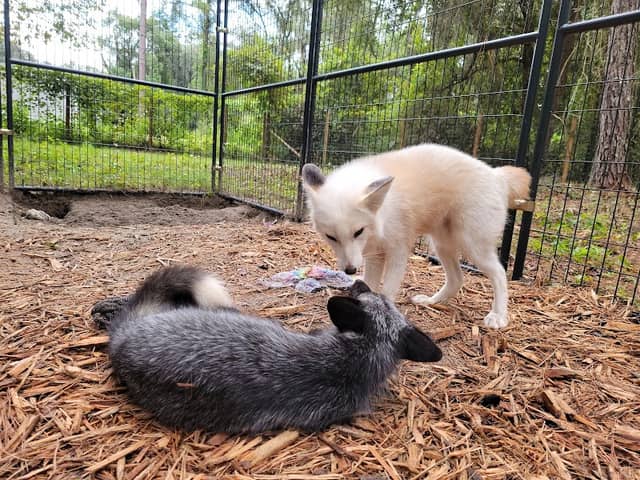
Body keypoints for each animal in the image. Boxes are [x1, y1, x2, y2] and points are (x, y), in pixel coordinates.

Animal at [301, 143, 531, 329]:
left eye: (358, 232)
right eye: (331, 237)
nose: (350, 270)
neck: (383, 212)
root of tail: (496, 175)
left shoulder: (398, 250)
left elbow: (387, 291)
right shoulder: (375, 255)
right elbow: (371, 286)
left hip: (472, 246)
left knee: (500, 274)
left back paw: (498, 316)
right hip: (441, 246)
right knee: (457, 279)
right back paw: (431, 301)